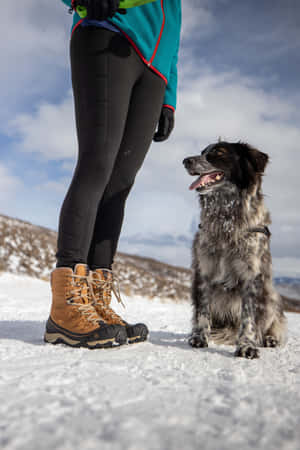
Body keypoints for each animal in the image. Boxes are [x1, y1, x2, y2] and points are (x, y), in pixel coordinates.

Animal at [184, 141, 288, 358]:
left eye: (219, 153)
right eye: (202, 153)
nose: (186, 161)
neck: (227, 220)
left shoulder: (252, 276)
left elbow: (248, 317)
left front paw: (247, 346)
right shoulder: (204, 271)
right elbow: (202, 310)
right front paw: (199, 337)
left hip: (271, 297)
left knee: (272, 323)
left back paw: (270, 338)